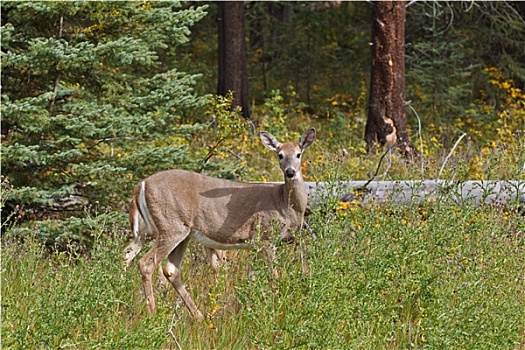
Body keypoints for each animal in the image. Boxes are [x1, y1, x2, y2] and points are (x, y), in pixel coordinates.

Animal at [131, 128, 316, 320]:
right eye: (280, 155)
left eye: (299, 154)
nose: (290, 172)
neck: (285, 203)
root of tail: (141, 184)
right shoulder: (265, 236)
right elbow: (273, 275)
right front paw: (277, 309)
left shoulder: (253, 244)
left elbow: (251, 277)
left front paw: (248, 309)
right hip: (171, 226)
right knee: (146, 264)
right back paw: (153, 314)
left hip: (183, 233)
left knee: (171, 270)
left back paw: (199, 317)